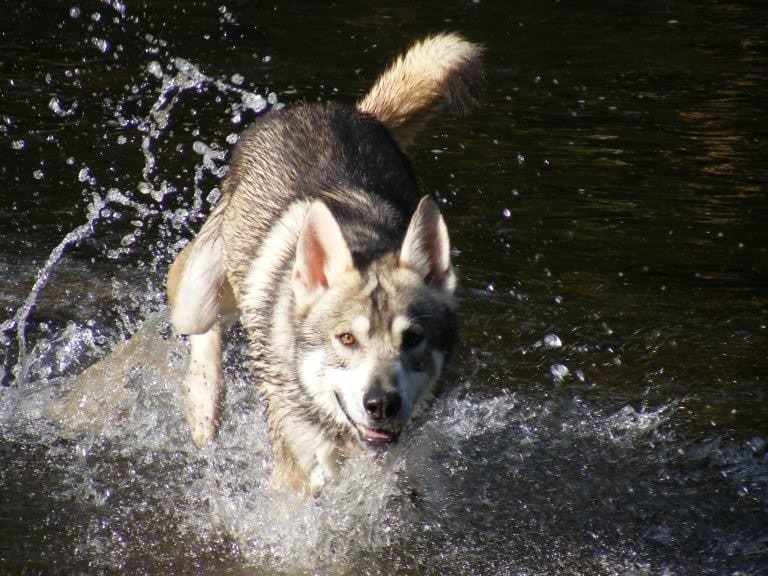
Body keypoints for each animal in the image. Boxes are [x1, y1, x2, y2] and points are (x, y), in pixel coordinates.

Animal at [166, 31, 484, 492]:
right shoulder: (292, 470)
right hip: (197, 295)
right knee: (202, 329)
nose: (381, 404)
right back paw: (203, 403)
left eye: (412, 339)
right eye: (346, 339)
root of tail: (342, 110)